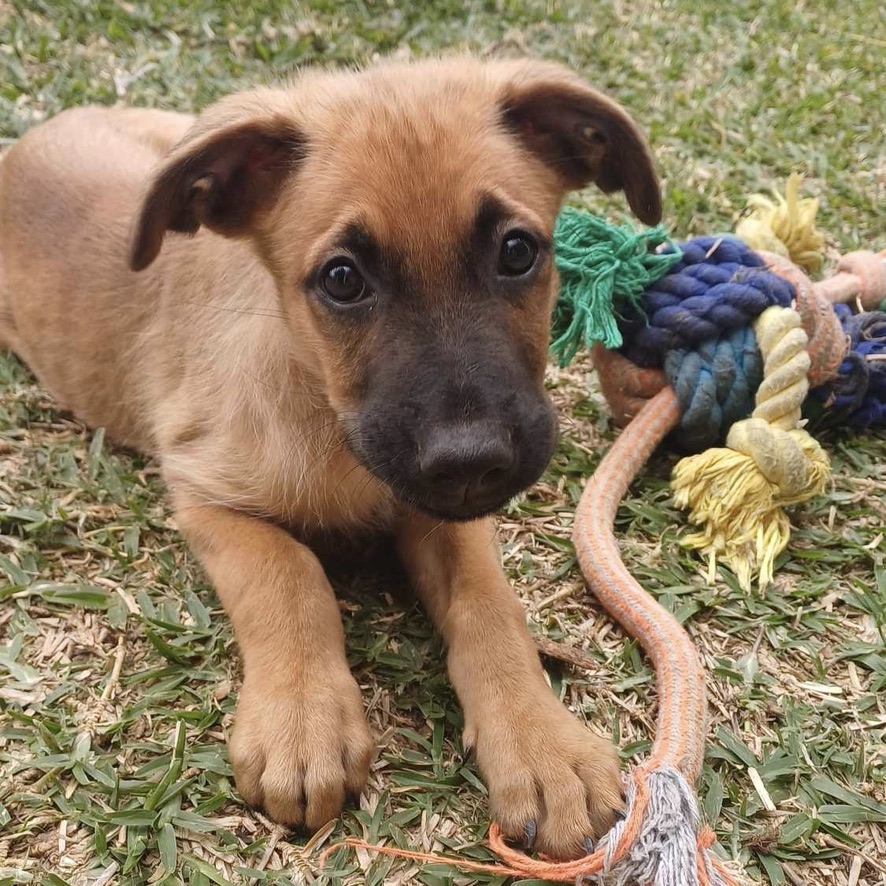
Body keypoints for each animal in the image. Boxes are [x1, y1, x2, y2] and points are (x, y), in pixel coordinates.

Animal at [0, 57, 664, 860]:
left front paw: (542, 746)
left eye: (517, 251)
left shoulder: (441, 510)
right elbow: (289, 576)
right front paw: (303, 721)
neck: (327, 417)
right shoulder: (202, 489)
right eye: (342, 279)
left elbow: (487, 603)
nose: (471, 459)